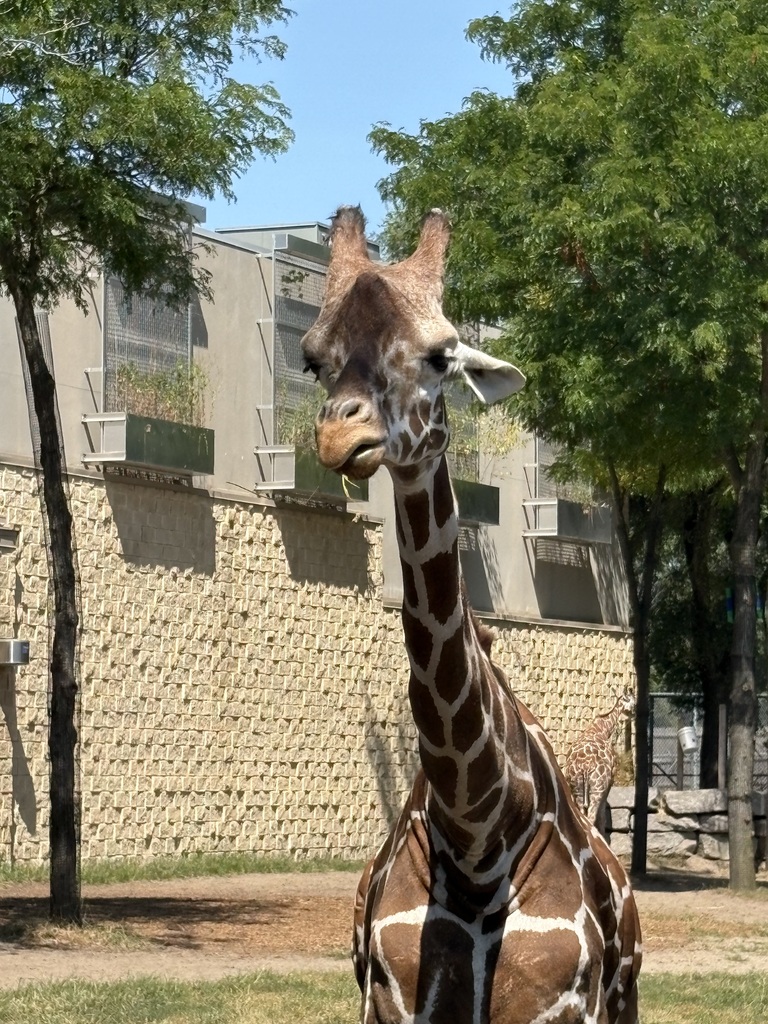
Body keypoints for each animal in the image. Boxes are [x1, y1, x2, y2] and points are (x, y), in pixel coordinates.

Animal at [564, 689, 636, 838]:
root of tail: (585, 767)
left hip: (577, 789)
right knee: (591, 818)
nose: (634, 714)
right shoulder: (609, 782)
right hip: (596, 789)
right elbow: (602, 816)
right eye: (634, 702)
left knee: (583, 818)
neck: (601, 729)